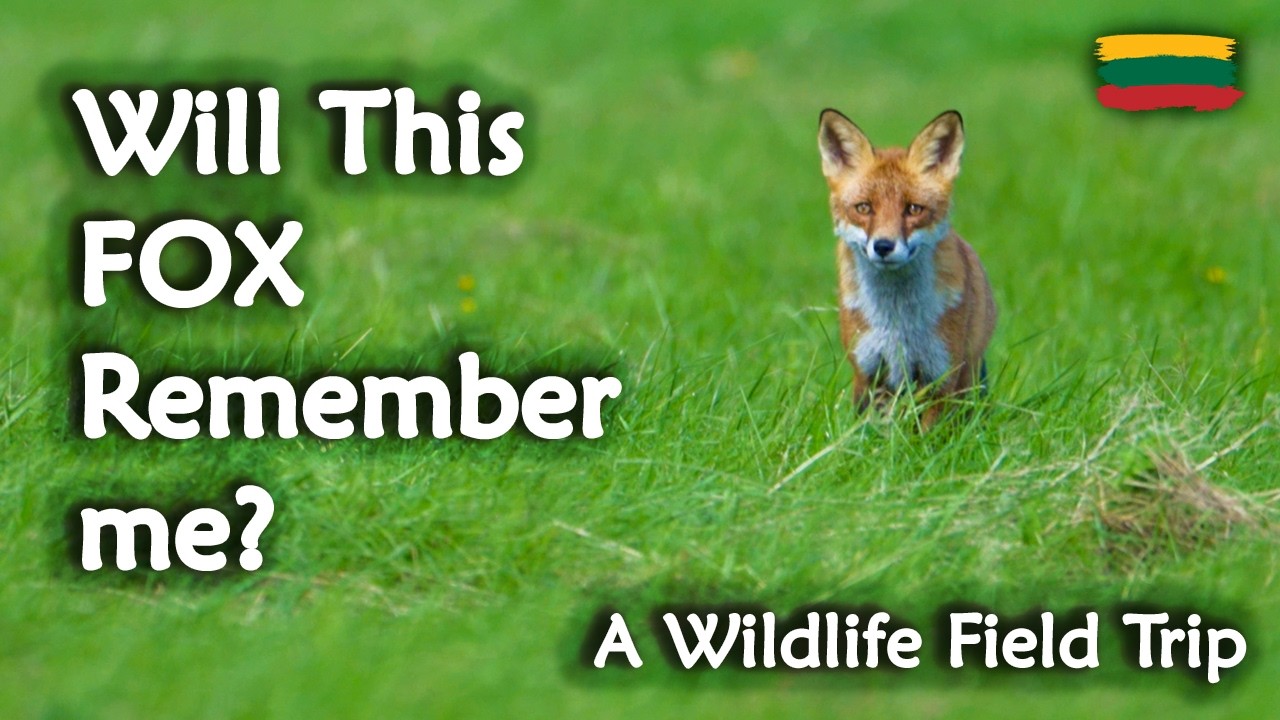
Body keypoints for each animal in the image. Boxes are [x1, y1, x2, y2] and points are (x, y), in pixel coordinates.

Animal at [817, 108, 996, 428]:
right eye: (864, 208)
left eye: (913, 209)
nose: (883, 246)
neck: (897, 319)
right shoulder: (866, 372)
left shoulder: (941, 376)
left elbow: (928, 436)